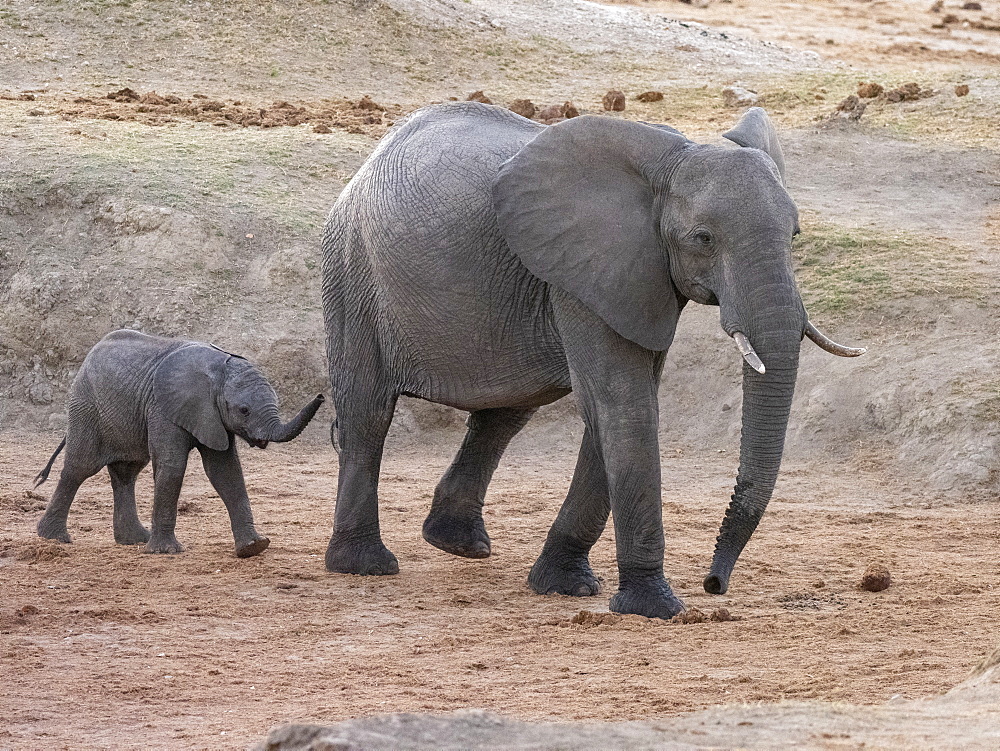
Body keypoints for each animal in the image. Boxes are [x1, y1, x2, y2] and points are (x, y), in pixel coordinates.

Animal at [34, 330, 324, 560]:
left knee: (126, 472)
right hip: (86, 407)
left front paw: (254, 547)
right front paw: (165, 552)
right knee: (79, 468)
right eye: (244, 410)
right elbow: (172, 467)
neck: (218, 370)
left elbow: (226, 472)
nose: (322, 396)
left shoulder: (211, 415)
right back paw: (53, 538)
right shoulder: (163, 408)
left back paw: (135, 539)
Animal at [318, 101, 860, 616]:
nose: (714, 584)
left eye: (794, 234)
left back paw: (459, 545)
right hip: (353, 271)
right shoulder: (587, 267)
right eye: (703, 238)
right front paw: (655, 607)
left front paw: (566, 586)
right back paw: (365, 564)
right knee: (368, 411)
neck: (672, 161)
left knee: (507, 412)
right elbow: (623, 404)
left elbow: (618, 407)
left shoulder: (632, 274)